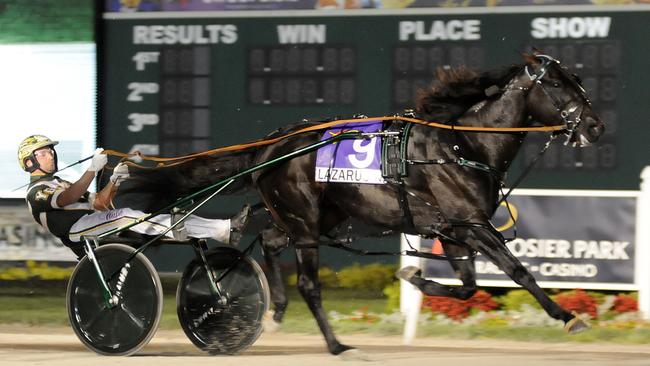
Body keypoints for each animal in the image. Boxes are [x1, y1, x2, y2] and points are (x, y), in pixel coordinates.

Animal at [123, 52, 604, 358]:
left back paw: (276, 312)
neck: (461, 146)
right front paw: (568, 316)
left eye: (580, 81)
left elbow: (468, 286)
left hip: (317, 217)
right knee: (308, 282)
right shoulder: (472, 224)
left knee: (271, 240)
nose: (596, 128)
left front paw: (416, 278)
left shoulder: (453, 229)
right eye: (557, 84)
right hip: (305, 220)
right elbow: (518, 271)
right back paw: (336, 345)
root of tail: (272, 146)